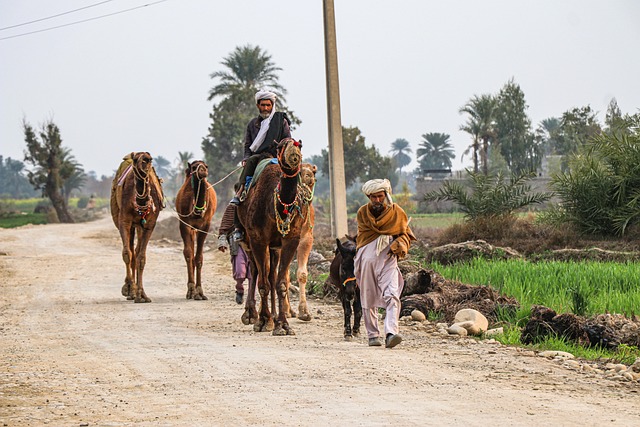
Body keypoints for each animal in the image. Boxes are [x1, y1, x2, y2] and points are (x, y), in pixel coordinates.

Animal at [110, 152, 165, 302]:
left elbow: (141, 257)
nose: (144, 162)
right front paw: (129, 288)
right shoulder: (124, 221)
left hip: (139, 225)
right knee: (131, 249)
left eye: (150, 159)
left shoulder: (149, 224)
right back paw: (131, 291)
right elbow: (127, 253)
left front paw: (141, 294)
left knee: (137, 250)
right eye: (136, 160)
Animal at [175, 160, 218, 300]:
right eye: (194, 167)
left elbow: (199, 257)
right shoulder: (184, 224)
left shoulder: (205, 225)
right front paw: (191, 290)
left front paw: (200, 292)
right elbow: (188, 254)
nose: (203, 171)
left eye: (206, 166)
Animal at [236, 139, 314, 336]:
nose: (293, 154)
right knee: (255, 271)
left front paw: (283, 325)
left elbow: (281, 283)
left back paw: (272, 317)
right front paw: (263, 322)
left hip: (274, 247)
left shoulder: (291, 240)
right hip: (248, 239)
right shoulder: (258, 239)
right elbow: (262, 283)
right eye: (280, 147)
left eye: (299, 145)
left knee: (271, 275)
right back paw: (251, 315)